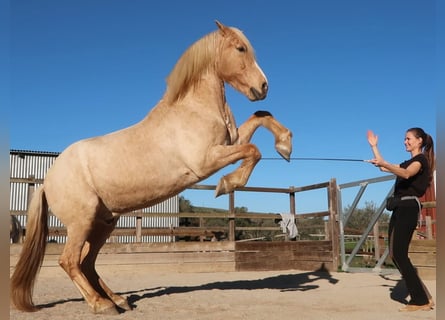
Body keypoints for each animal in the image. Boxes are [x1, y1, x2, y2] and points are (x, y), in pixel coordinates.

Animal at [10, 20, 292, 316]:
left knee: (87, 262)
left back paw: (119, 300)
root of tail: (47, 181)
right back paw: (102, 305)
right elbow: (254, 150)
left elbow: (262, 117)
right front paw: (227, 184)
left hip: (104, 223)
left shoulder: (230, 143)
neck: (193, 108)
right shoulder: (207, 160)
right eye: (240, 48)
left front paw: (285, 146)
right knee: (70, 261)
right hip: (81, 223)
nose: (263, 87)